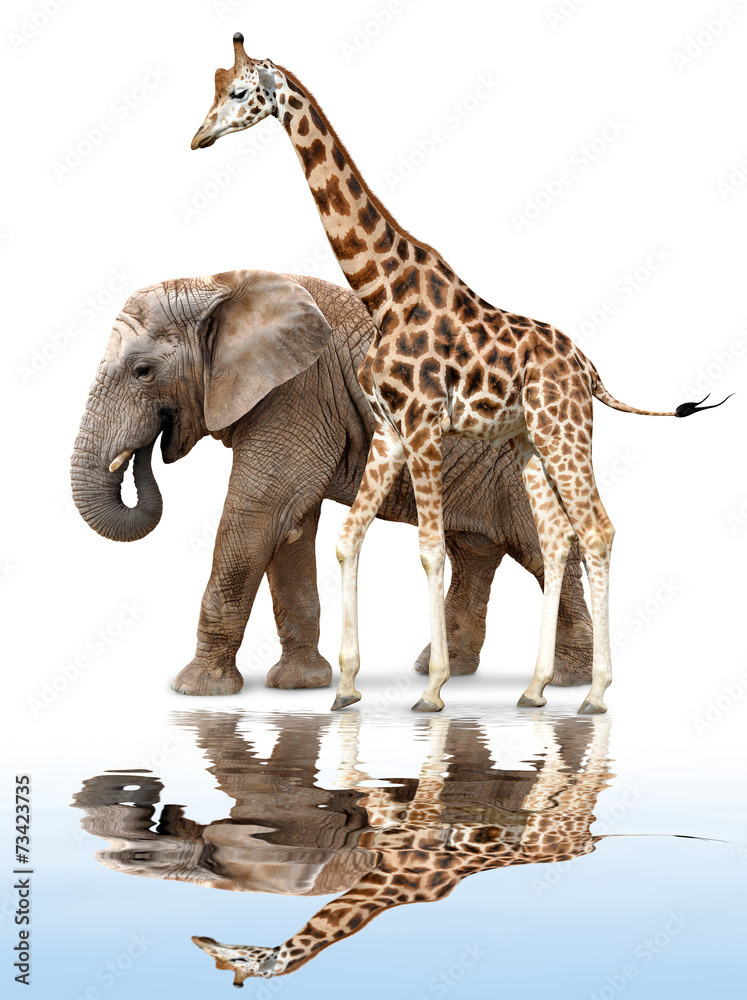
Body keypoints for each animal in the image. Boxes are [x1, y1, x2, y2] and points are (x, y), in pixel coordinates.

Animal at [71, 269, 592, 696]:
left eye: (143, 371)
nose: (147, 449)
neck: (219, 284)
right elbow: (291, 525)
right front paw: (301, 685)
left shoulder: (298, 391)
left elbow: (259, 514)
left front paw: (195, 691)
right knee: (475, 552)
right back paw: (443, 670)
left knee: (541, 551)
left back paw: (568, 680)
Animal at [191, 35, 730, 714]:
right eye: (212, 88)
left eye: (238, 91)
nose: (198, 137)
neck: (381, 295)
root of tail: (589, 368)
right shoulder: (389, 431)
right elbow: (348, 538)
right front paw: (345, 689)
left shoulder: (424, 428)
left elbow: (429, 551)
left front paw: (433, 691)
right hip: (528, 446)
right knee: (558, 536)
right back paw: (534, 690)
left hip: (564, 433)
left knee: (598, 530)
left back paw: (596, 694)